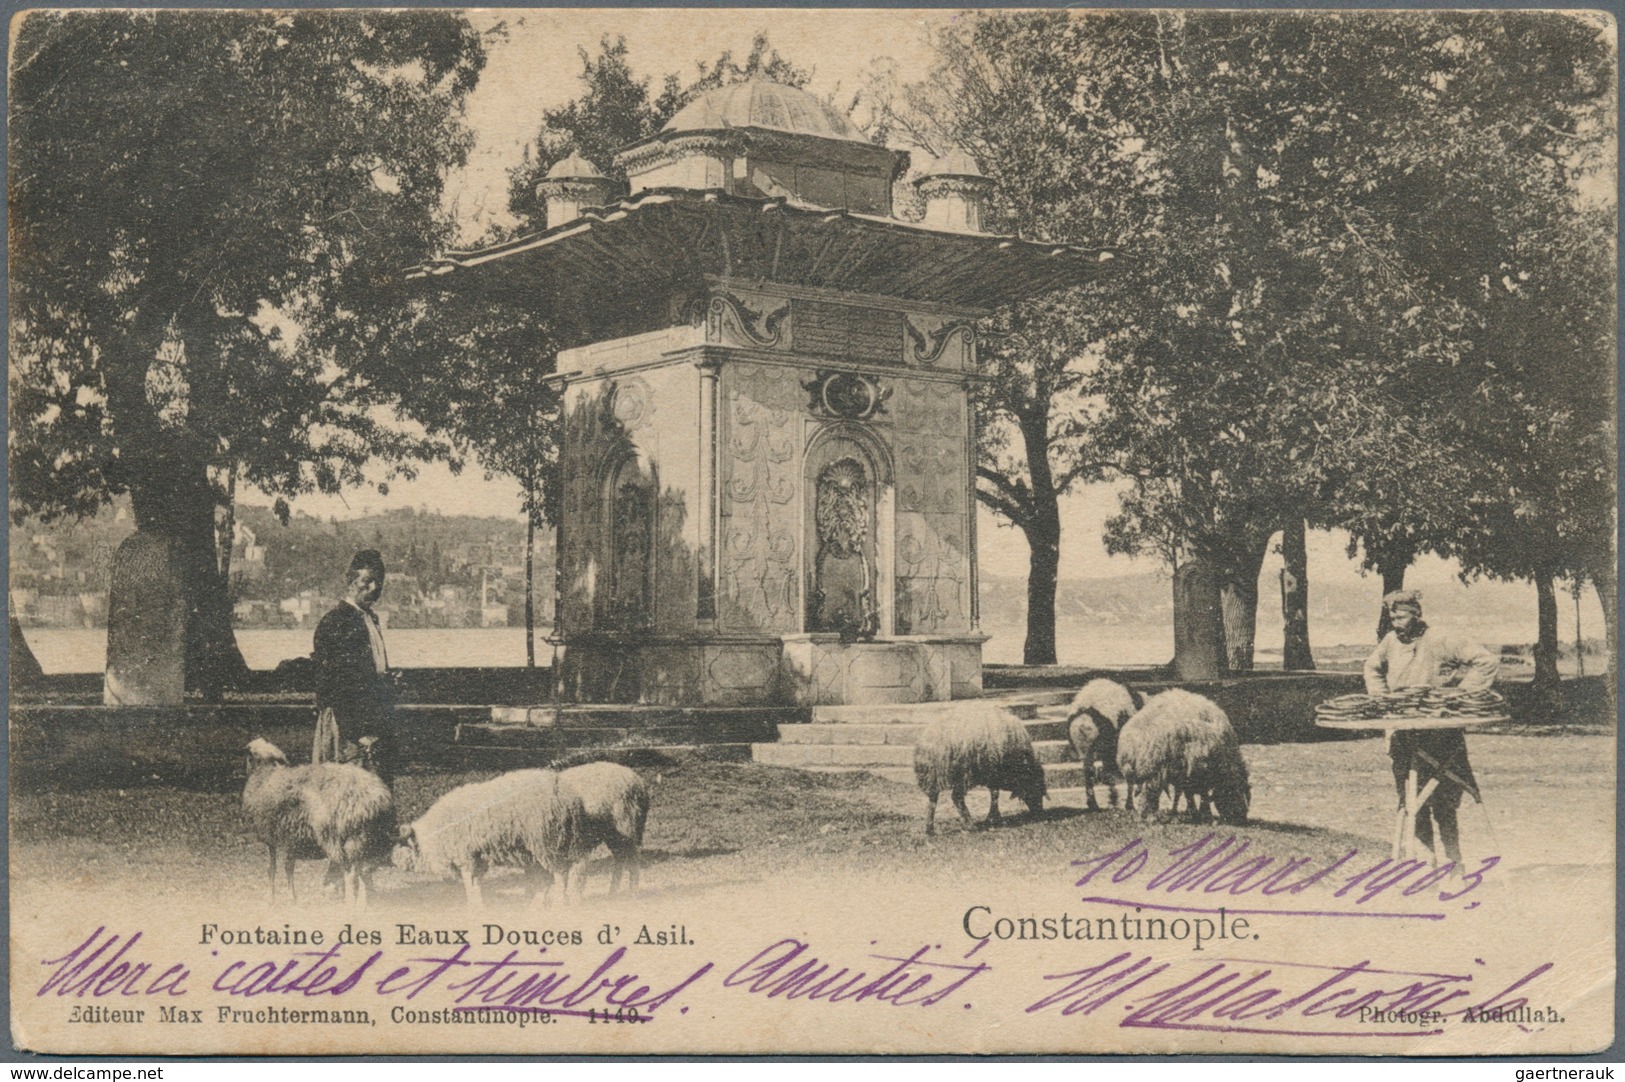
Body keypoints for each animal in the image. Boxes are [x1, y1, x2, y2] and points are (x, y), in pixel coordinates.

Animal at [238, 737, 394, 903]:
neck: (264, 773)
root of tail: (376, 798)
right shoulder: (291, 837)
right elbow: (288, 866)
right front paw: (292, 897)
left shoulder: (270, 836)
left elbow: (272, 869)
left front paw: (271, 897)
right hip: (362, 836)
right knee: (363, 869)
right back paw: (363, 902)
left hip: (336, 835)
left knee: (350, 872)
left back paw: (349, 902)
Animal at [390, 766, 588, 909]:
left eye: (403, 845)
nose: (393, 860)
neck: (435, 834)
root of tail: (569, 796)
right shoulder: (477, 858)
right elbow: (476, 884)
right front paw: (479, 906)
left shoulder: (466, 857)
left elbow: (468, 884)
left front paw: (472, 907)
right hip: (546, 848)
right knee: (553, 878)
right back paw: (538, 906)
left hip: (548, 842)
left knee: (561, 875)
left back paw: (559, 904)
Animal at [910, 698, 1046, 831]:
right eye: (1036, 786)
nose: (1040, 813)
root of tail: (933, 742)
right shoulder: (994, 772)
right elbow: (995, 794)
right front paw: (993, 817)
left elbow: (994, 793)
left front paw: (993, 817)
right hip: (962, 773)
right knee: (956, 797)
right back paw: (970, 825)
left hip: (931, 775)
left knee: (932, 799)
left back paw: (929, 828)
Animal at [1111, 685, 1248, 822]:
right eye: (1237, 792)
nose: (1243, 818)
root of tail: (1140, 738)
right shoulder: (1199, 769)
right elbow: (1199, 794)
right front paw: (1203, 813)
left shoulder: (1184, 771)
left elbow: (1184, 793)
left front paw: (1185, 811)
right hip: (1153, 766)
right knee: (1147, 791)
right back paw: (1146, 814)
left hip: (1134, 766)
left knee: (1135, 788)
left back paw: (1137, 810)